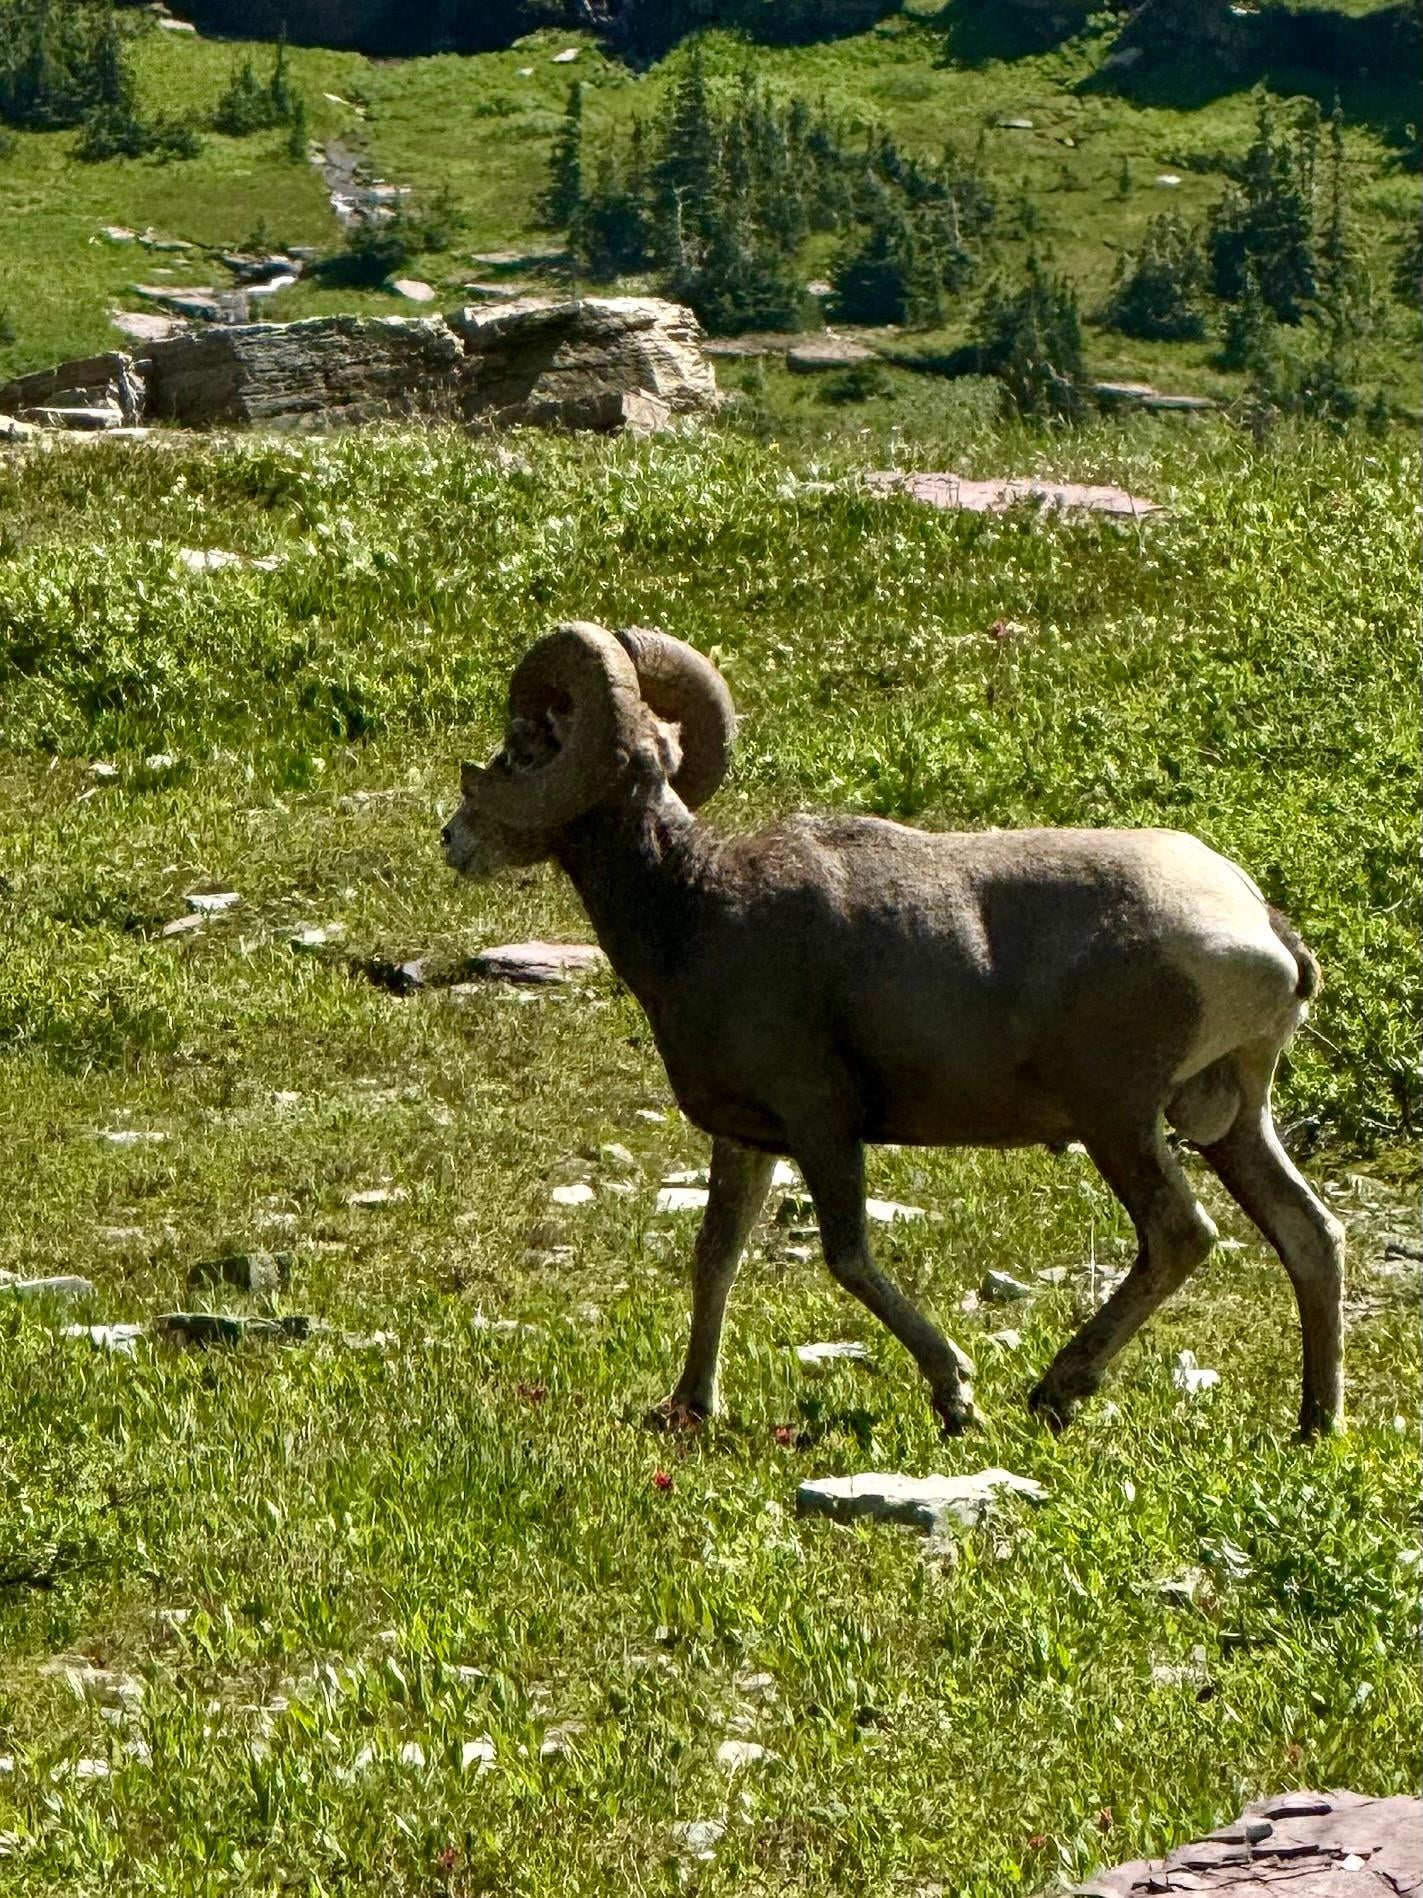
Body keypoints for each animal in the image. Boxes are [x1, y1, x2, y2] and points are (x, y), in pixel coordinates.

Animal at [442, 621, 1345, 1440]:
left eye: (523, 749)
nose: (454, 839)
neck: (691, 907)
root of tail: (1261, 929)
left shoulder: (822, 1123)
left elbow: (848, 1259)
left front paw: (955, 1396)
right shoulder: (750, 1138)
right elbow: (715, 1257)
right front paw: (689, 1407)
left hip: (1118, 1121)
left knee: (1178, 1235)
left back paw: (1056, 1392)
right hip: (1229, 1123)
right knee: (1309, 1235)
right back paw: (1313, 1423)